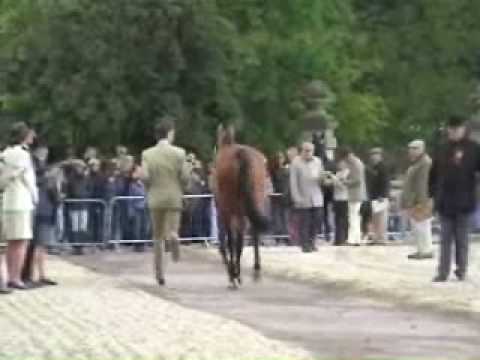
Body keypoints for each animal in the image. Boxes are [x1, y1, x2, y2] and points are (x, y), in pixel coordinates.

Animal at [215, 125, 270, 288]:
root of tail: (241, 154)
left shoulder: (223, 211)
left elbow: (227, 242)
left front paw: (232, 273)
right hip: (255, 203)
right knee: (254, 233)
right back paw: (255, 270)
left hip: (233, 209)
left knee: (235, 240)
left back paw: (235, 275)